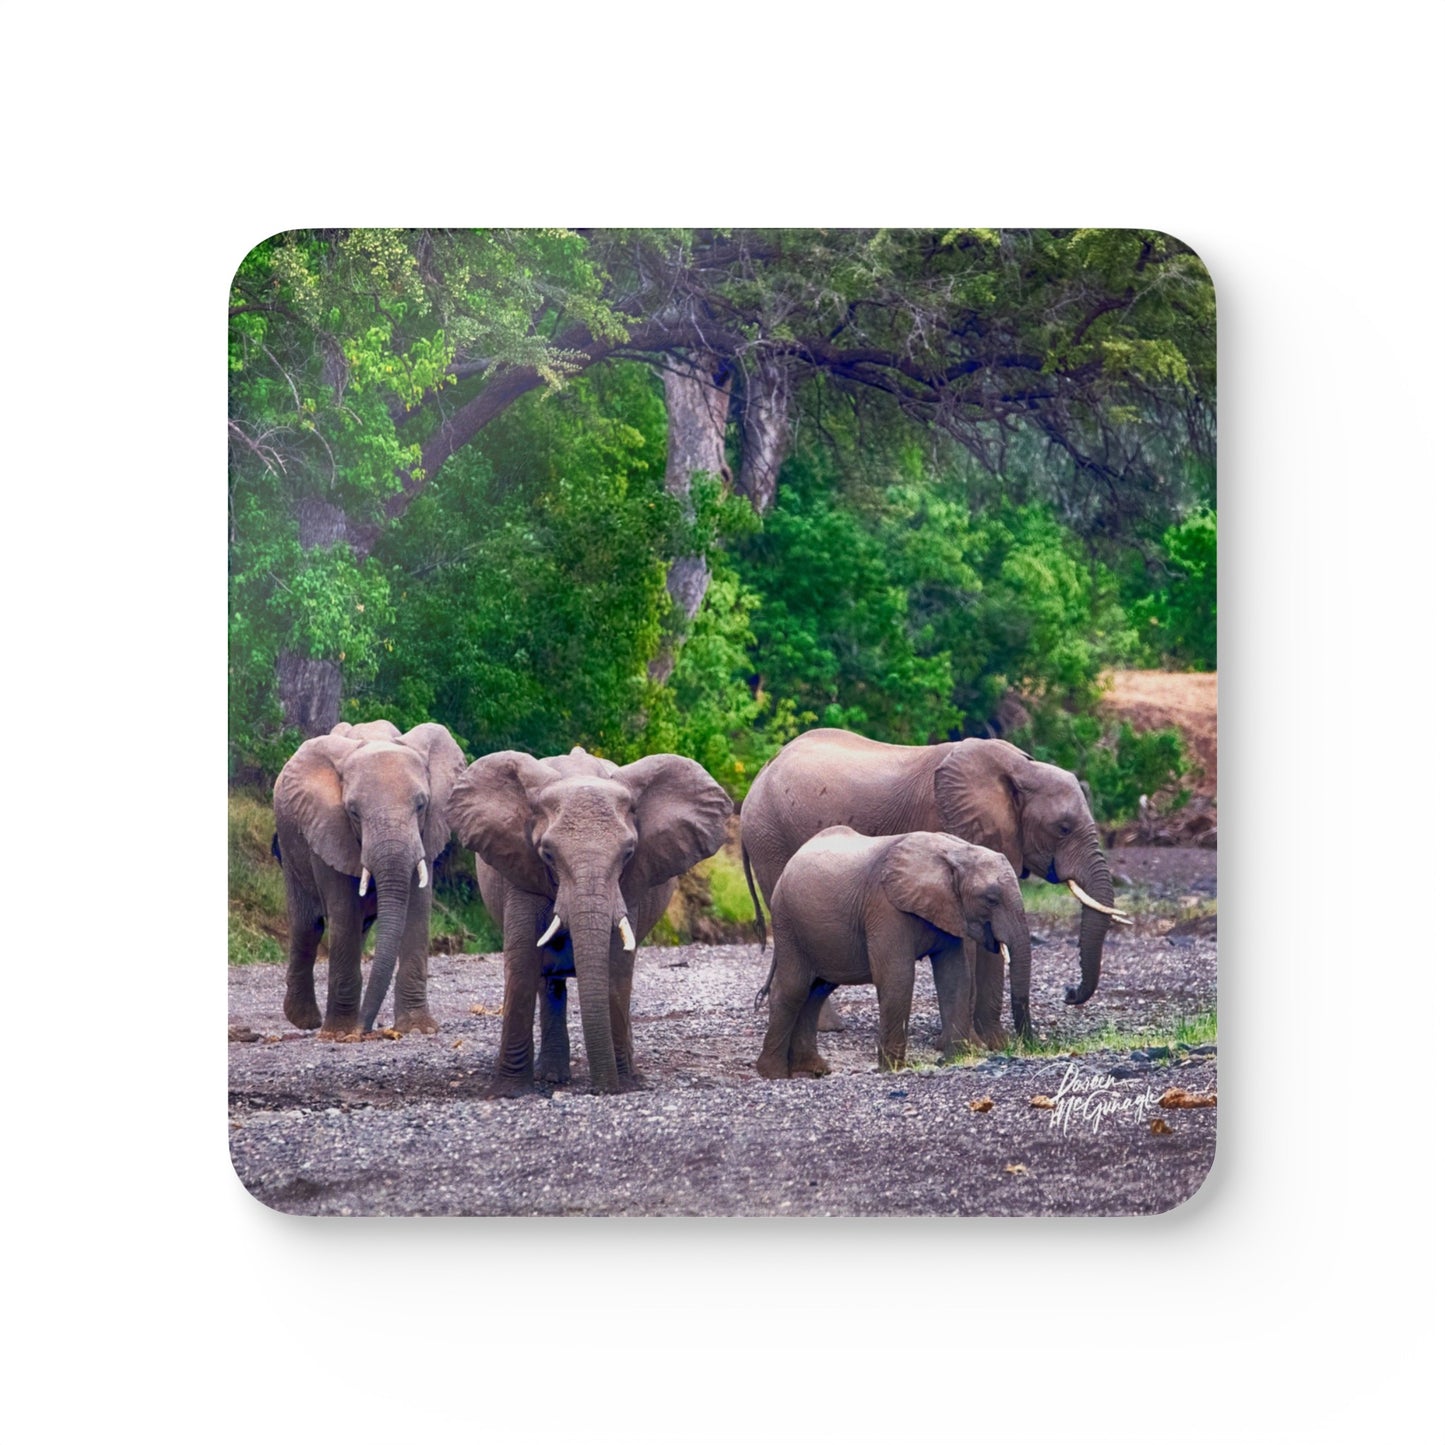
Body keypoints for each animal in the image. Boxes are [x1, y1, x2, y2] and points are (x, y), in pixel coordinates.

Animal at [273, 719, 465, 1039]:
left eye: (421, 805)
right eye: (353, 812)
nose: (362, 1030)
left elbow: (417, 910)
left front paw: (418, 1029)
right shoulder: (328, 827)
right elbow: (343, 912)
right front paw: (340, 1034)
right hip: (290, 845)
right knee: (309, 926)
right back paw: (306, 1021)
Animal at [449, 746, 734, 1094]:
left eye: (628, 853)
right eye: (547, 854)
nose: (603, 1088)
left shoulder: (629, 884)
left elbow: (617, 967)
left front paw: (623, 1083)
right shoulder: (519, 867)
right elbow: (522, 962)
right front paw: (509, 1092)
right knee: (549, 981)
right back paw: (551, 1076)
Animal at [740, 727, 1130, 1047]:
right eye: (1063, 828)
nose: (1069, 993)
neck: (1020, 769)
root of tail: (759, 775)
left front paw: (995, 1044)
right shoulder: (946, 823)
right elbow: (969, 941)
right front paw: (966, 1043)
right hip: (771, 839)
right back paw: (826, 1028)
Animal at [755, 827, 1033, 1076]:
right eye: (991, 900)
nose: (1030, 1045)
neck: (955, 852)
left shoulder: (948, 910)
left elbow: (955, 977)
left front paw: (957, 1059)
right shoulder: (885, 907)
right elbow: (897, 977)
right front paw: (894, 1068)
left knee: (817, 991)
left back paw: (813, 1070)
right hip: (787, 922)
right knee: (794, 988)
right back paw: (774, 1074)